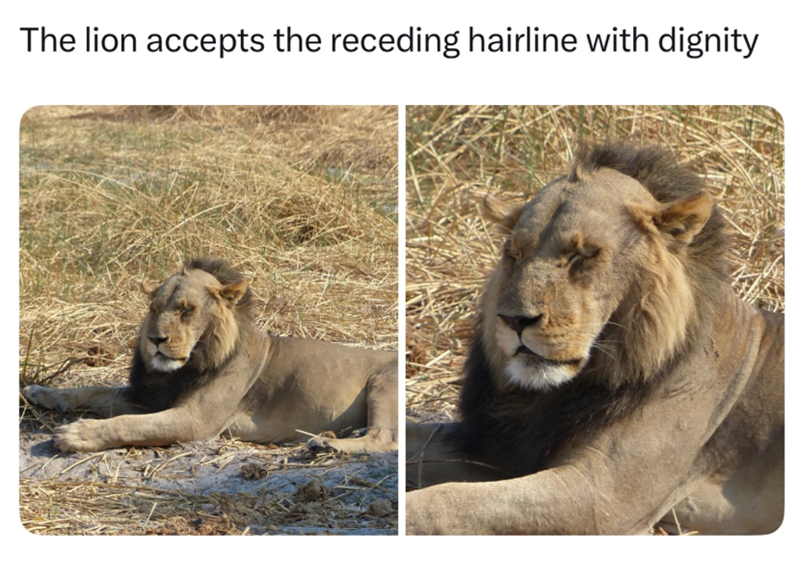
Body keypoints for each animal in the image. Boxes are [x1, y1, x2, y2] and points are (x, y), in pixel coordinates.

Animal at [23, 258, 398, 454]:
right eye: (154, 308)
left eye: (186, 310)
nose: (155, 339)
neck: (183, 368)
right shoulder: (151, 396)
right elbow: (94, 391)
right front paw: (40, 392)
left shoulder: (195, 420)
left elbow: (130, 424)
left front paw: (76, 435)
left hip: (382, 383)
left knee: (385, 439)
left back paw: (327, 444)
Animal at [406, 145, 784, 535]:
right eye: (514, 254)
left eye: (582, 254)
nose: (515, 320)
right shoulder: (497, 448)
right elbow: (412, 439)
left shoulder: (603, 498)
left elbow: (443, 502)